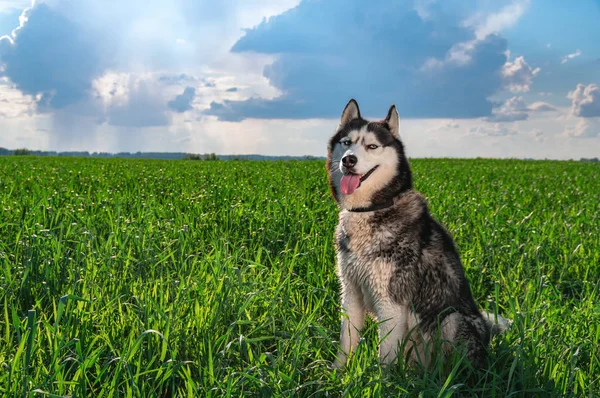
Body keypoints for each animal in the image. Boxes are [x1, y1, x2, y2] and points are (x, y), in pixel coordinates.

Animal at [328, 99, 506, 370]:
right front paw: (338, 375)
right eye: (347, 142)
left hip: (451, 318)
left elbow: (385, 356)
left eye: (372, 146)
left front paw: (383, 380)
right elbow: (346, 344)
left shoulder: (391, 302)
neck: (374, 208)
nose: (349, 160)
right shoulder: (351, 293)